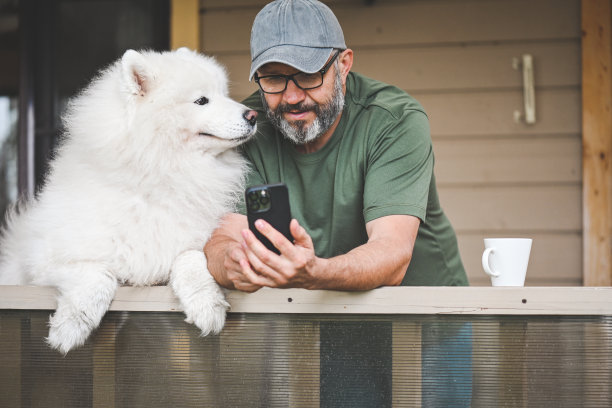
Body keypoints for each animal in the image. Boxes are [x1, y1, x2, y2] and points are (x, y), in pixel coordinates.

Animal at [0, 47, 256, 354]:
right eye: (202, 100)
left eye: (224, 93)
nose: (253, 115)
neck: (159, 176)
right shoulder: (43, 262)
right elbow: (97, 275)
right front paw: (70, 327)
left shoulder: (192, 242)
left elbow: (191, 258)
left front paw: (207, 305)